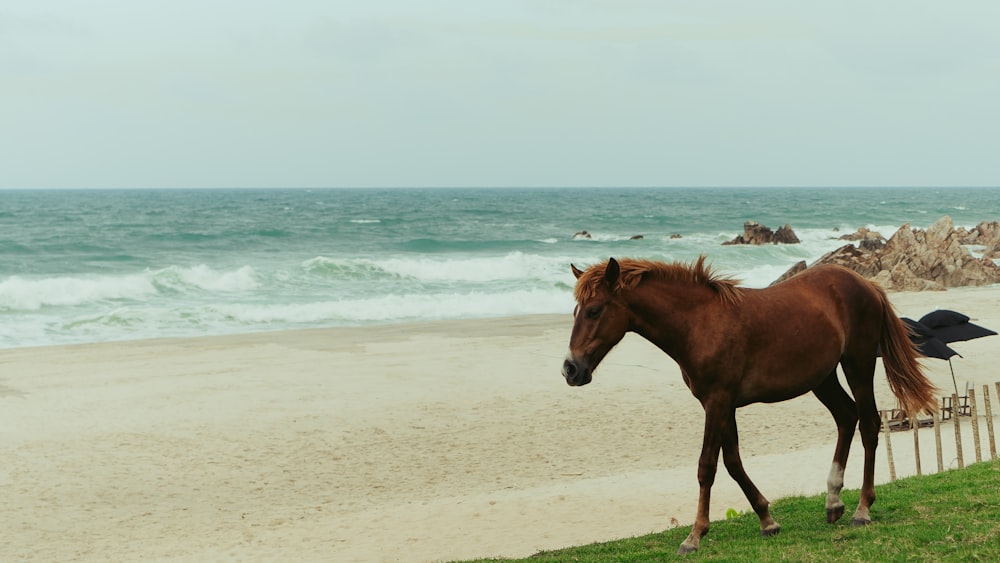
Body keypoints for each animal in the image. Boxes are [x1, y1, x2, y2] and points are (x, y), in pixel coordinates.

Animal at [564, 256, 936, 556]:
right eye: (576, 311)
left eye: (594, 310)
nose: (571, 369)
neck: (699, 323)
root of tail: (865, 284)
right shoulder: (721, 404)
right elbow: (732, 462)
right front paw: (767, 520)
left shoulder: (717, 402)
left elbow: (707, 466)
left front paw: (694, 536)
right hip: (823, 377)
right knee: (847, 417)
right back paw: (833, 501)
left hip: (857, 364)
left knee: (869, 424)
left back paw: (862, 509)